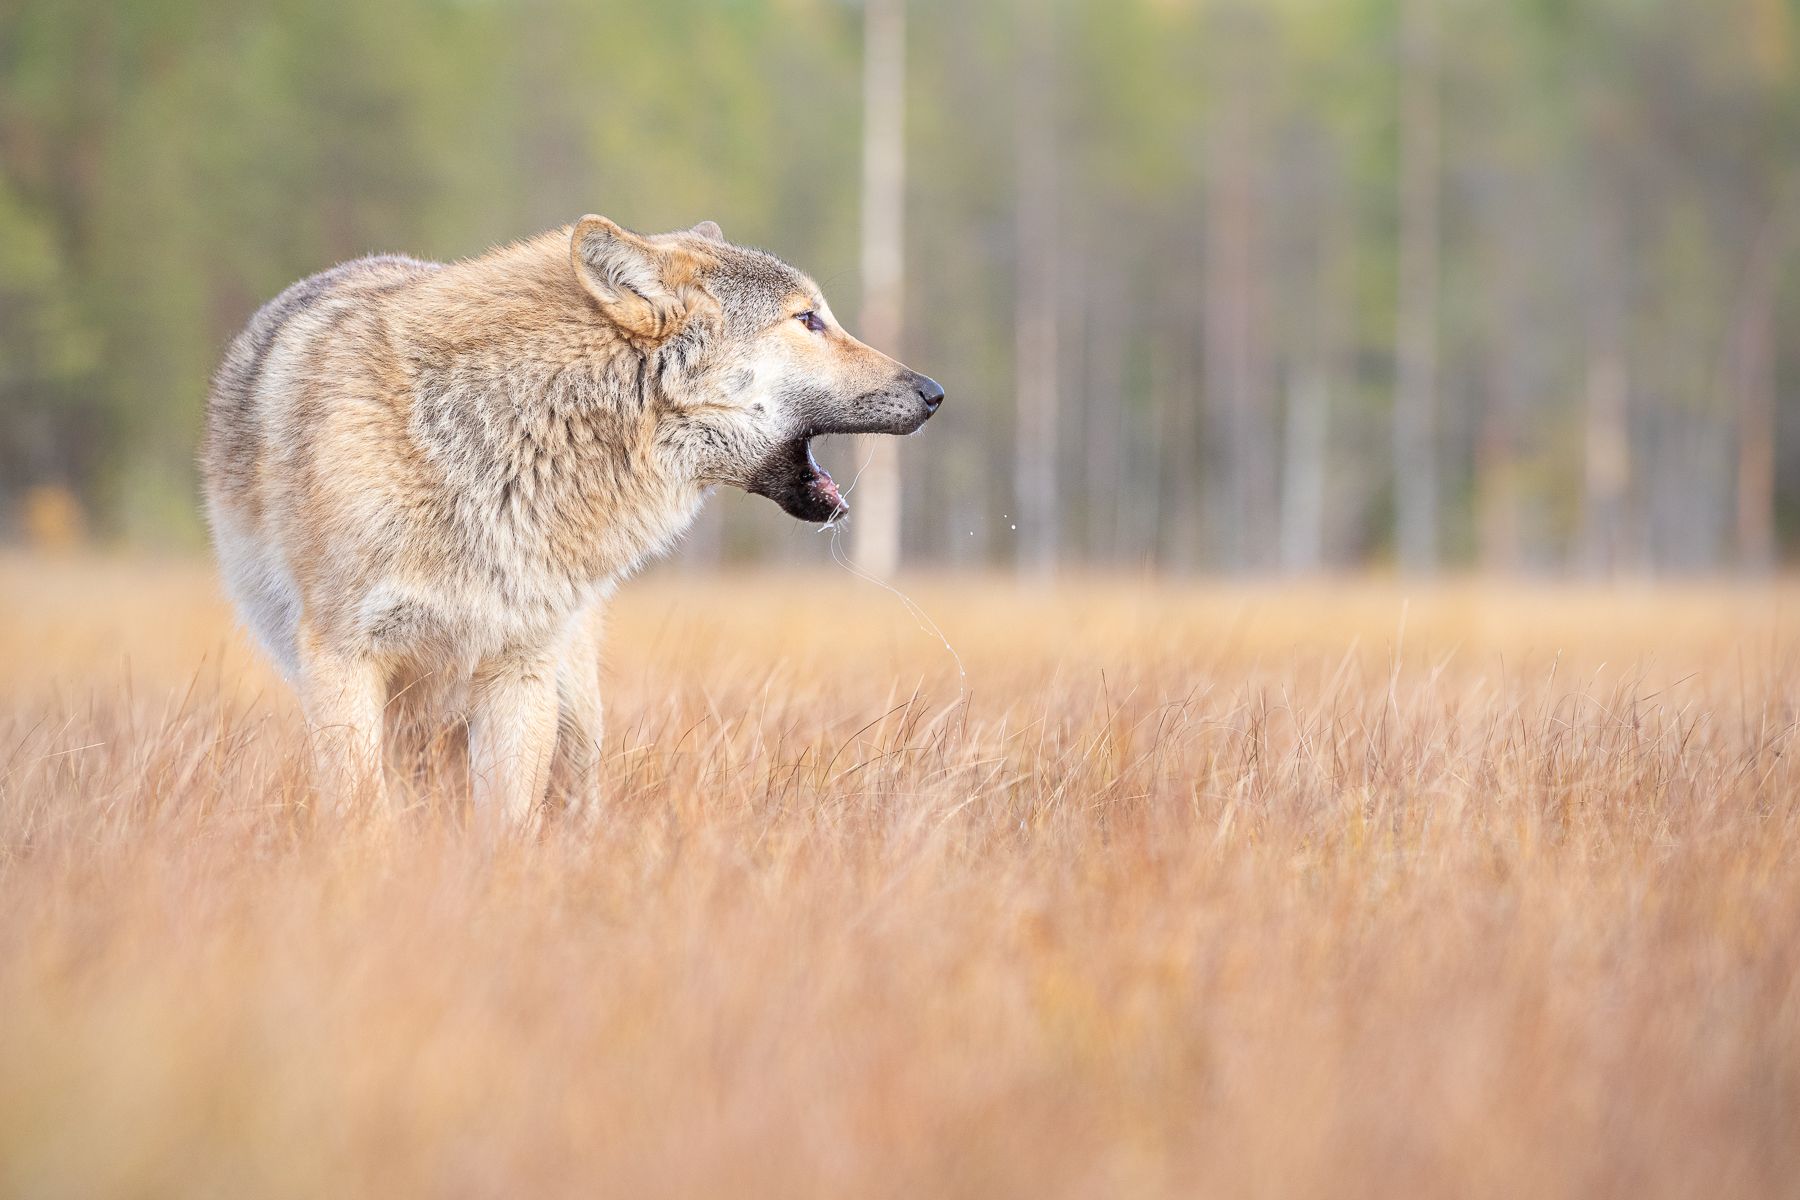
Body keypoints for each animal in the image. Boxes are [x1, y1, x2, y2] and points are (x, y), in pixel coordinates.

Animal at [201, 216, 943, 832]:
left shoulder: (519, 671)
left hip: (573, 711)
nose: (934, 392)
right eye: (807, 320)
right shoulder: (345, 663)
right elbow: (364, 822)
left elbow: (507, 831)